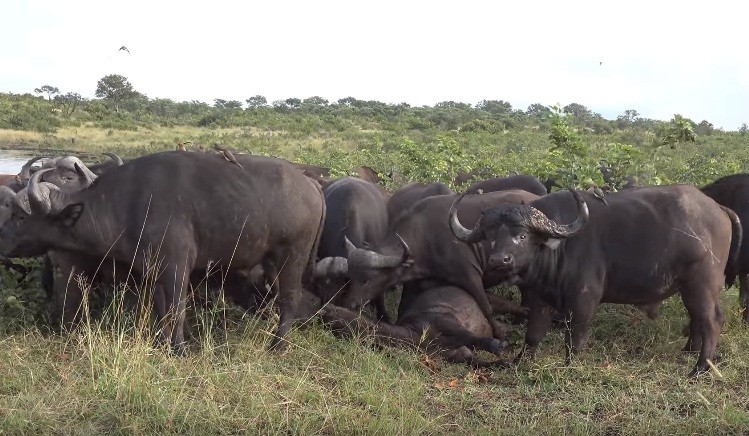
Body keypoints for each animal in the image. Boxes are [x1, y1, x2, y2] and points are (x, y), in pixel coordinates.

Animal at [2, 152, 324, 352]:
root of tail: (310, 184)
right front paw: (161, 342)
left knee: (290, 299)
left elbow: (177, 309)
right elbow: (161, 308)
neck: (129, 204)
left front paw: (179, 349)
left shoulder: (177, 266)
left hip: (293, 257)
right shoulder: (154, 269)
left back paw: (278, 346)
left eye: (18, 216)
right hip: (271, 262)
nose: (2, 239)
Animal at [338, 191, 536, 340]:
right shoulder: (414, 282)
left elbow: (486, 307)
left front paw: (500, 335)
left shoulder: (471, 276)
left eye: (367, 279)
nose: (348, 304)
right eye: (350, 277)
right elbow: (404, 306)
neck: (426, 237)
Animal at [450, 186, 744, 376]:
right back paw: (688, 352)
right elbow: (533, 334)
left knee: (711, 320)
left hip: (701, 284)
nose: (499, 260)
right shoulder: (540, 298)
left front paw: (570, 367)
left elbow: (575, 338)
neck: (558, 250)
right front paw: (520, 361)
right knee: (698, 319)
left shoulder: (584, 298)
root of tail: (719, 208)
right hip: (693, 288)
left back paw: (700, 367)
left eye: (522, 235)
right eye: (490, 237)